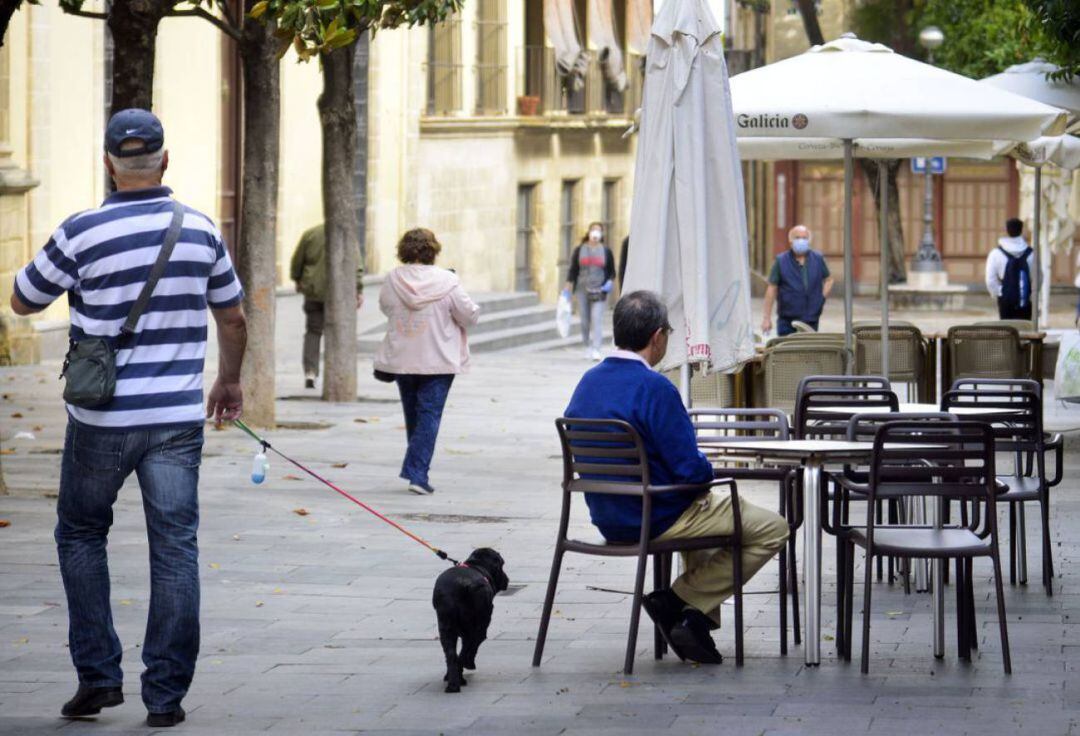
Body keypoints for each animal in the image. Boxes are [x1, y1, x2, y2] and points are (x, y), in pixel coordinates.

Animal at [432, 544, 507, 696]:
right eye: (502, 565)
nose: (507, 581)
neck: (476, 566)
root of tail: (463, 584)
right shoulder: (481, 628)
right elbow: (471, 649)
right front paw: (469, 664)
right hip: (476, 627)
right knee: (464, 652)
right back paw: (459, 680)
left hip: (445, 628)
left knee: (451, 655)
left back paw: (452, 683)